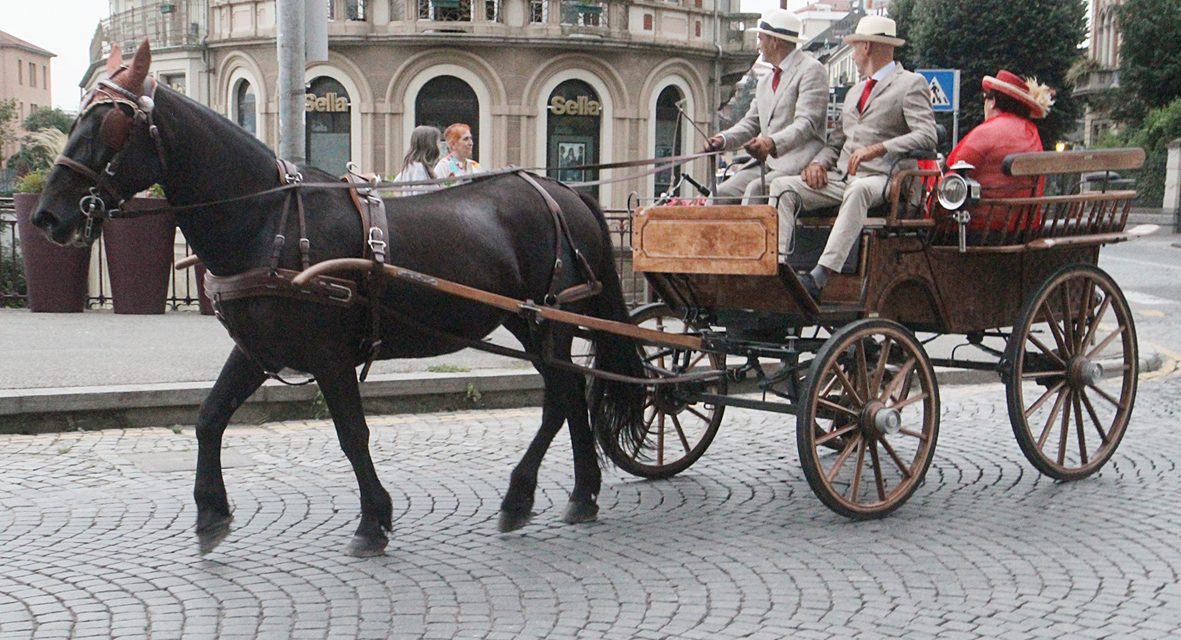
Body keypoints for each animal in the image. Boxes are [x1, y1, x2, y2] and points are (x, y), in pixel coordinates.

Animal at [34, 40, 647, 559]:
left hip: (549, 320)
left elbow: (352, 434)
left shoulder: (328, 354)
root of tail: (566, 191)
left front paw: (373, 519)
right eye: (79, 117)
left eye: (109, 123)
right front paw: (210, 510)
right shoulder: (258, 348)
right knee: (571, 396)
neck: (270, 219)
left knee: (559, 398)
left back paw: (522, 496)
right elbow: (210, 418)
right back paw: (582, 492)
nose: (47, 216)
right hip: (527, 321)